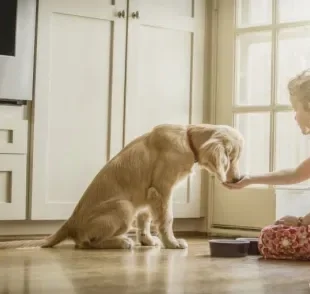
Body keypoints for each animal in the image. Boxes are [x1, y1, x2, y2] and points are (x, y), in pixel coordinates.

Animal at [0, 123, 242, 249]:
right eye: (231, 158)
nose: (238, 179)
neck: (188, 137)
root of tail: (70, 223)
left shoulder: (148, 196)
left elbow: (145, 219)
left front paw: (147, 240)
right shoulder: (162, 190)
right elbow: (166, 219)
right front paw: (172, 243)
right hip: (124, 207)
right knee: (85, 242)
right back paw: (121, 242)